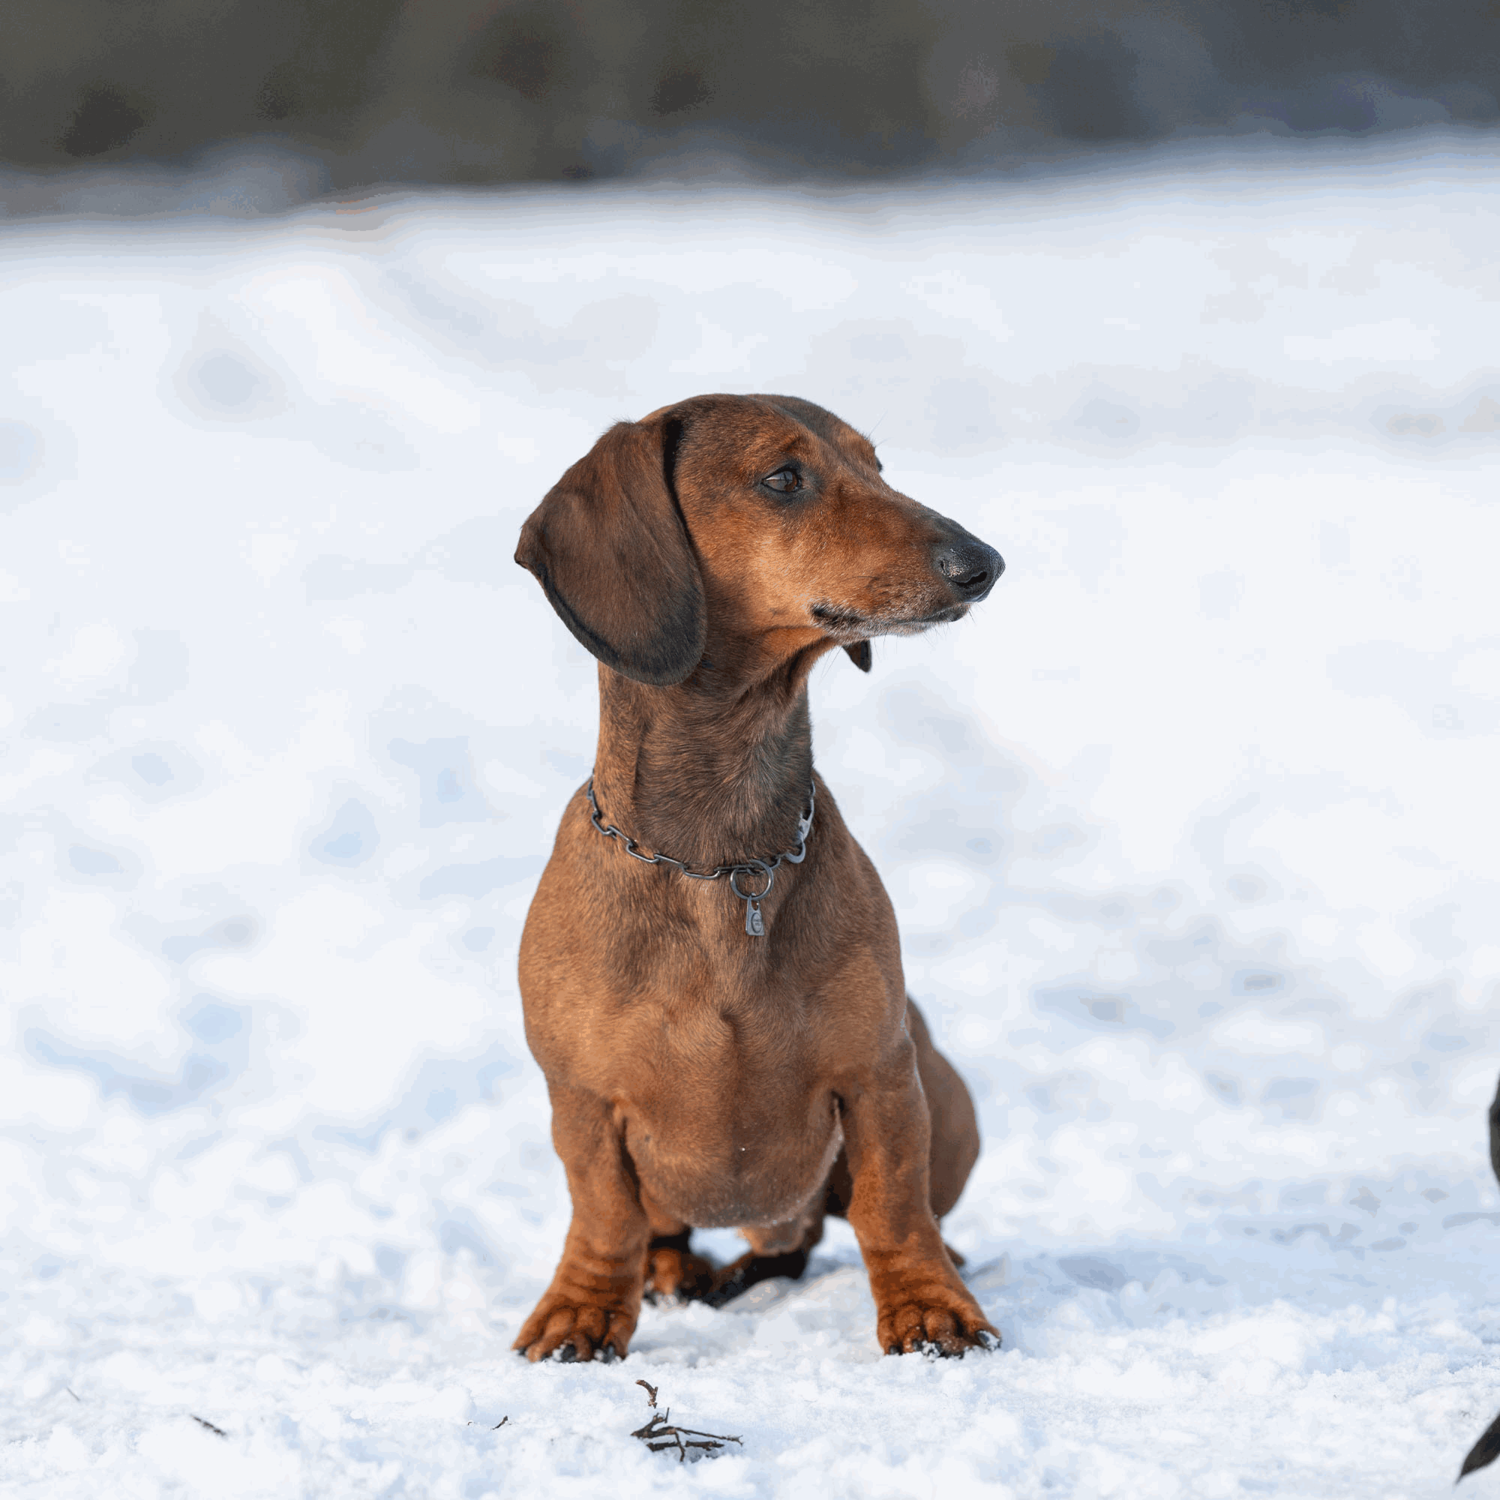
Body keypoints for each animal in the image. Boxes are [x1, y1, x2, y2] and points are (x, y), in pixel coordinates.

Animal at [513, 393, 1008, 1368]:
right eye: (783, 478)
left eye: (877, 466)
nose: (984, 565)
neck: (722, 860)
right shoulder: (582, 1101)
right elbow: (605, 1214)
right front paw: (581, 1312)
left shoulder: (882, 1076)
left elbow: (892, 1207)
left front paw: (929, 1308)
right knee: (674, 1232)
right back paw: (677, 1273)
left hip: (946, 1091)